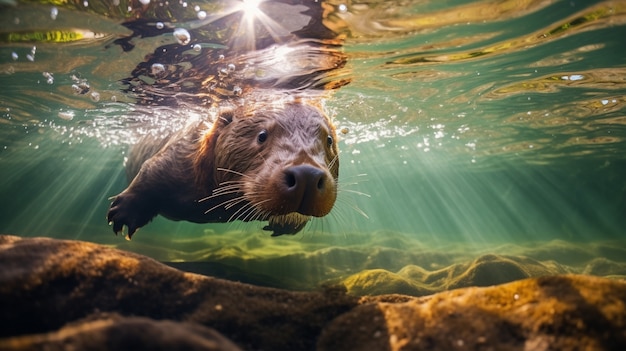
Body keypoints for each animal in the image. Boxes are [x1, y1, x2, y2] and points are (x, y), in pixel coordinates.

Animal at [109, 102, 338, 239]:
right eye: (262, 135)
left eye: (329, 140)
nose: (306, 176)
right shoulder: (183, 150)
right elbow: (151, 171)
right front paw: (121, 214)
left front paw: (285, 223)